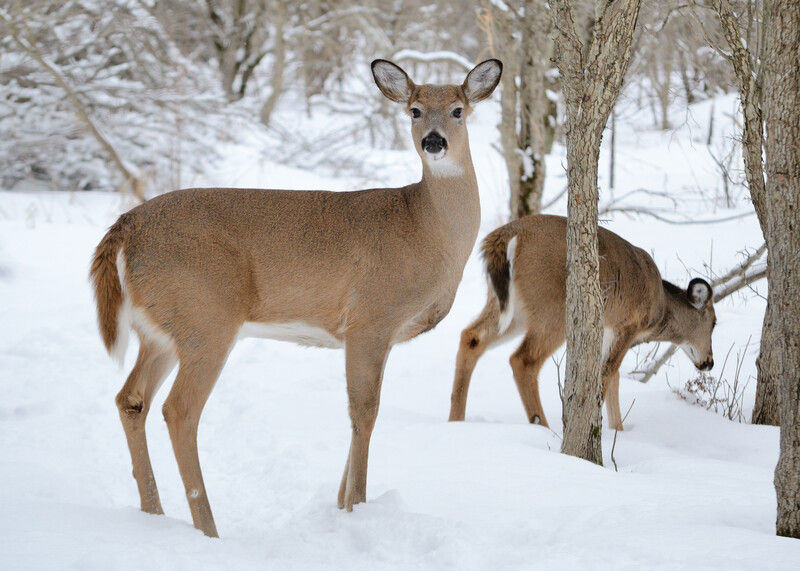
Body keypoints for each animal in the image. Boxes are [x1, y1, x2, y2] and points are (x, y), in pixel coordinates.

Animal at [90, 58, 502, 537]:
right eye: (415, 110)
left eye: (457, 110)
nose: (433, 142)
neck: (424, 229)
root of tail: (125, 227)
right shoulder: (371, 319)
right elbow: (365, 412)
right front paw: (357, 507)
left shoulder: (373, 334)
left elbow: (358, 412)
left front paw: (342, 507)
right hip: (206, 318)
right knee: (180, 410)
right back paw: (208, 529)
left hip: (161, 330)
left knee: (131, 399)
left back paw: (153, 515)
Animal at [448, 214, 717, 430]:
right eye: (714, 323)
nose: (709, 362)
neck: (659, 308)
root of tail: (507, 235)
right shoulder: (629, 325)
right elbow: (607, 373)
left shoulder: (608, 328)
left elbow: (614, 378)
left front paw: (618, 430)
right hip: (552, 307)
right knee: (523, 360)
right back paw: (543, 427)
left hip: (511, 307)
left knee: (471, 336)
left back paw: (456, 420)